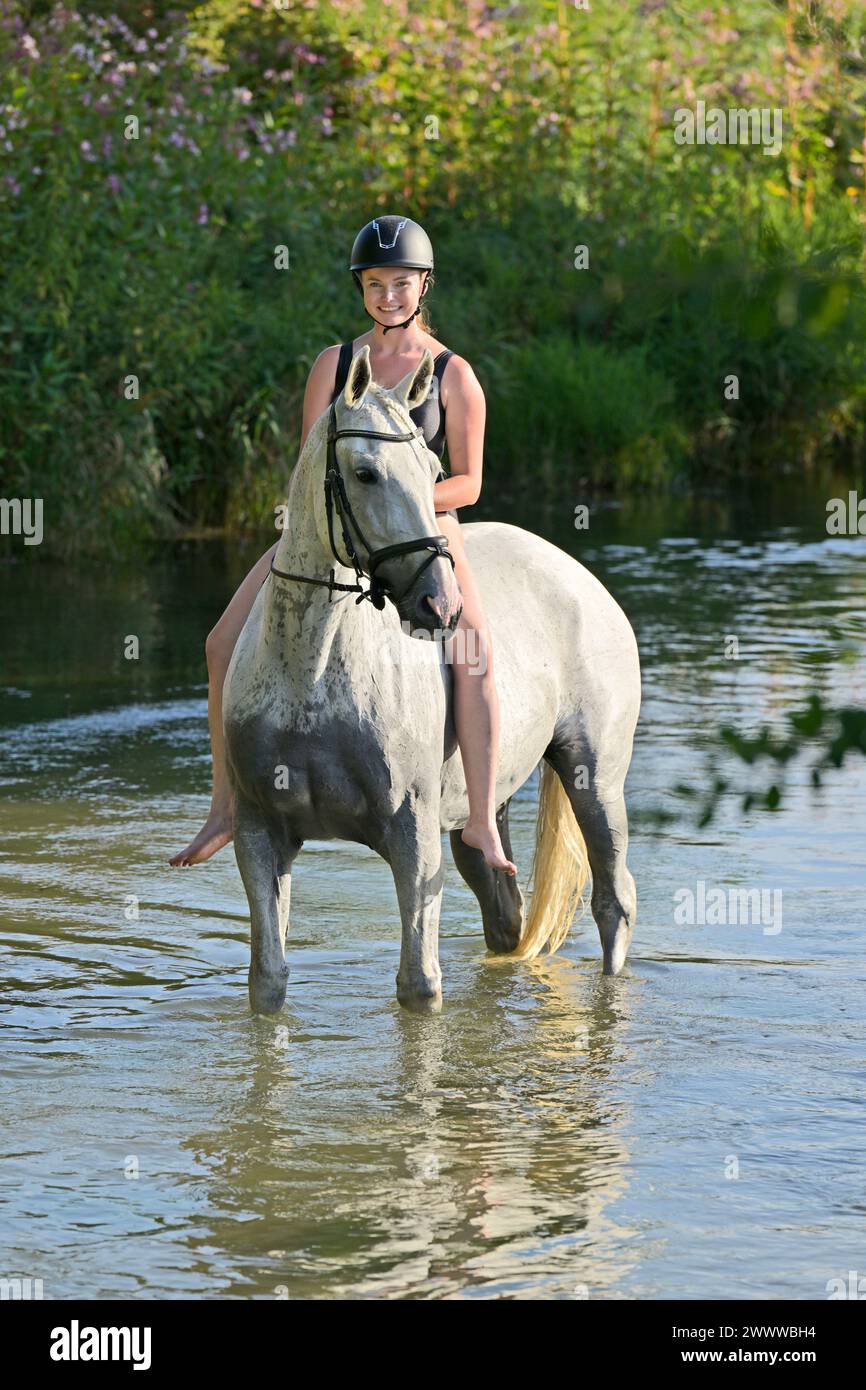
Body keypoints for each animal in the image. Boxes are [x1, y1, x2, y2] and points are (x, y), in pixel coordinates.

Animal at [222, 344, 641, 1015]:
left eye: (433, 467)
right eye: (365, 473)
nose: (439, 605)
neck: (311, 675)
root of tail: (580, 575)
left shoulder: (412, 835)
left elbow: (418, 983)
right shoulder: (260, 832)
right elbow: (268, 979)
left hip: (595, 776)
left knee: (613, 900)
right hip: (481, 813)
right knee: (505, 912)